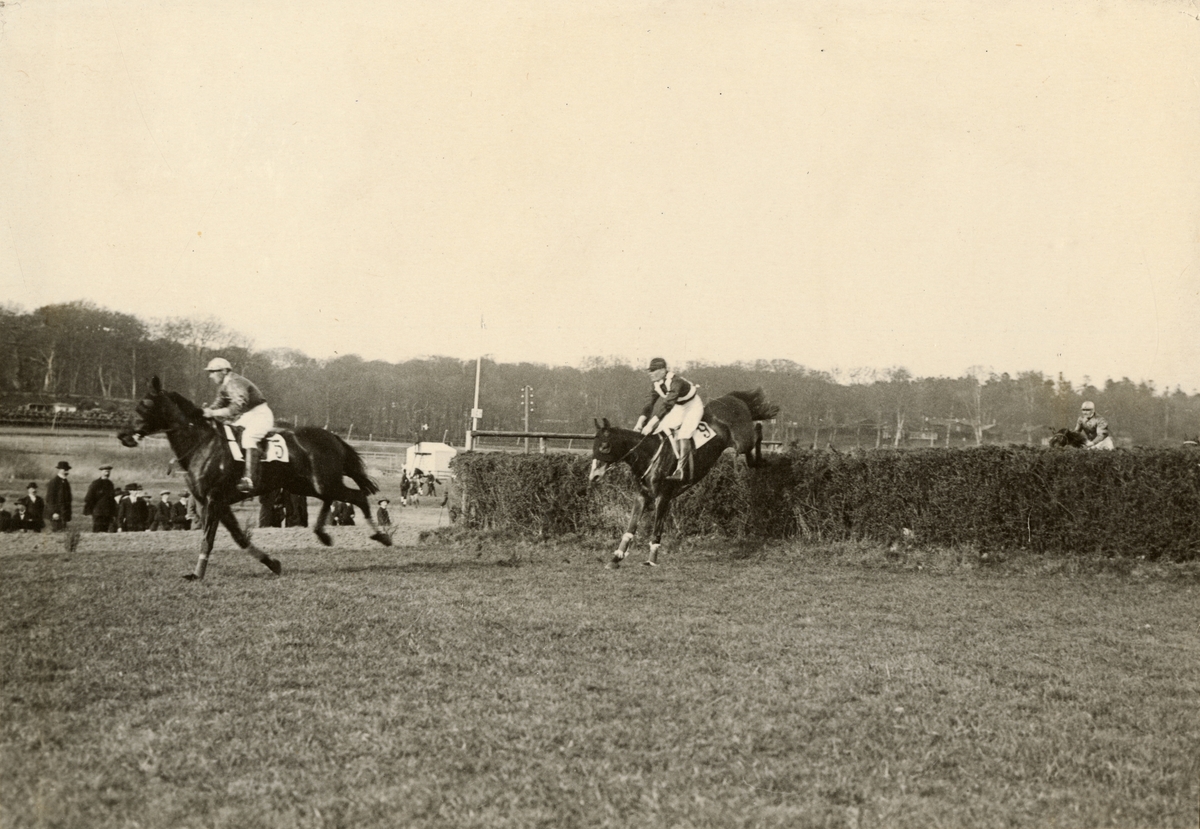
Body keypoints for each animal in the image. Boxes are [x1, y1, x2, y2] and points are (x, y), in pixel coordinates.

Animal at [117, 376, 392, 580]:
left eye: (145, 405)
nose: (123, 435)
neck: (202, 444)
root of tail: (332, 436)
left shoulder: (214, 499)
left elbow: (208, 539)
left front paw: (197, 574)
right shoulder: (216, 502)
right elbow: (238, 538)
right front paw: (272, 563)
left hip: (321, 482)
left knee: (358, 496)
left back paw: (382, 536)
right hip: (307, 484)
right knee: (332, 499)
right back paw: (322, 533)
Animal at [588, 388, 780, 569]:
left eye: (604, 446)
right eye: (594, 445)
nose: (593, 476)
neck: (649, 455)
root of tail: (731, 398)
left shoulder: (662, 497)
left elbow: (656, 529)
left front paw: (651, 560)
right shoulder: (641, 496)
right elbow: (630, 528)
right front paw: (616, 558)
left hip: (742, 439)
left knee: (756, 434)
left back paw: (761, 443)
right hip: (741, 443)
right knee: (751, 455)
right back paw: (758, 461)